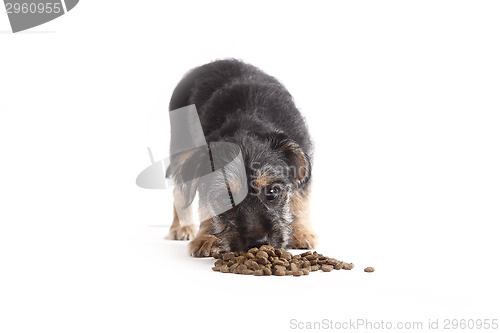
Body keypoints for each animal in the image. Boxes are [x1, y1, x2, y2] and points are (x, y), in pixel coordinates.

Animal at [167, 58, 316, 255]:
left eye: (272, 192)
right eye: (227, 199)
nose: (258, 242)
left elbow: (301, 198)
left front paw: (301, 232)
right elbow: (205, 206)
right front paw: (206, 237)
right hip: (180, 149)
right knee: (180, 191)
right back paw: (181, 227)